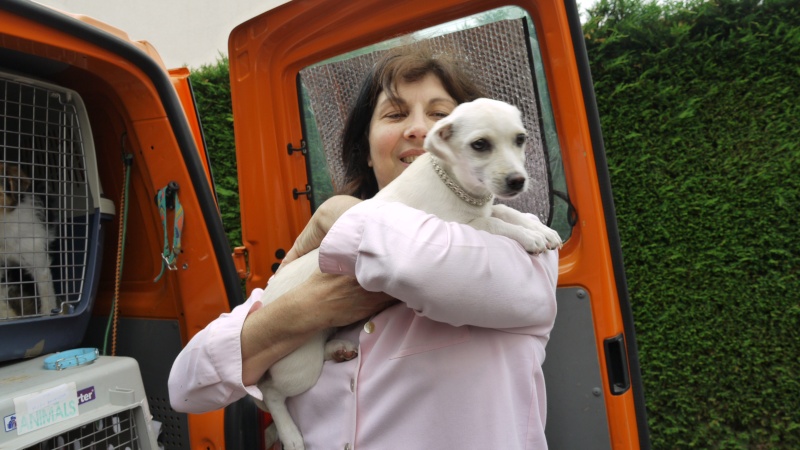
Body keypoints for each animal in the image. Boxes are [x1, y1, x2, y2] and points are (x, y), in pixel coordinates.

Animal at [256, 97, 564, 446]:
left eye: (520, 139)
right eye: (480, 145)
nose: (517, 181)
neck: (457, 186)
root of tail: (266, 303)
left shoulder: (484, 209)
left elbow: (502, 210)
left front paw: (539, 229)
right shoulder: (458, 225)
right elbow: (494, 223)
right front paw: (530, 236)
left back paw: (339, 349)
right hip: (298, 367)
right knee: (270, 392)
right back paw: (290, 434)